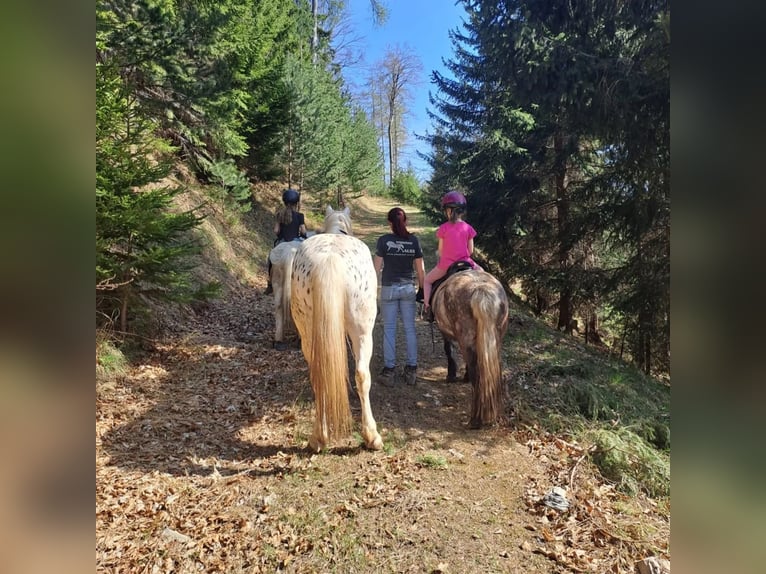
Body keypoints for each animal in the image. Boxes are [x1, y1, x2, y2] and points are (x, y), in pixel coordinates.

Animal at [290, 207, 382, 454]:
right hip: (363, 331)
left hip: (308, 332)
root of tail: (330, 257)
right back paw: (371, 436)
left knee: (319, 375)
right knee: (362, 374)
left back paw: (318, 438)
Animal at [432, 264, 510, 428]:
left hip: (465, 338)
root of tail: (481, 290)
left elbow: (449, 350)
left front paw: (451, 375)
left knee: (477, 374)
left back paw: (476, 420)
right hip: (495, 340)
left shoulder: (445, 332)